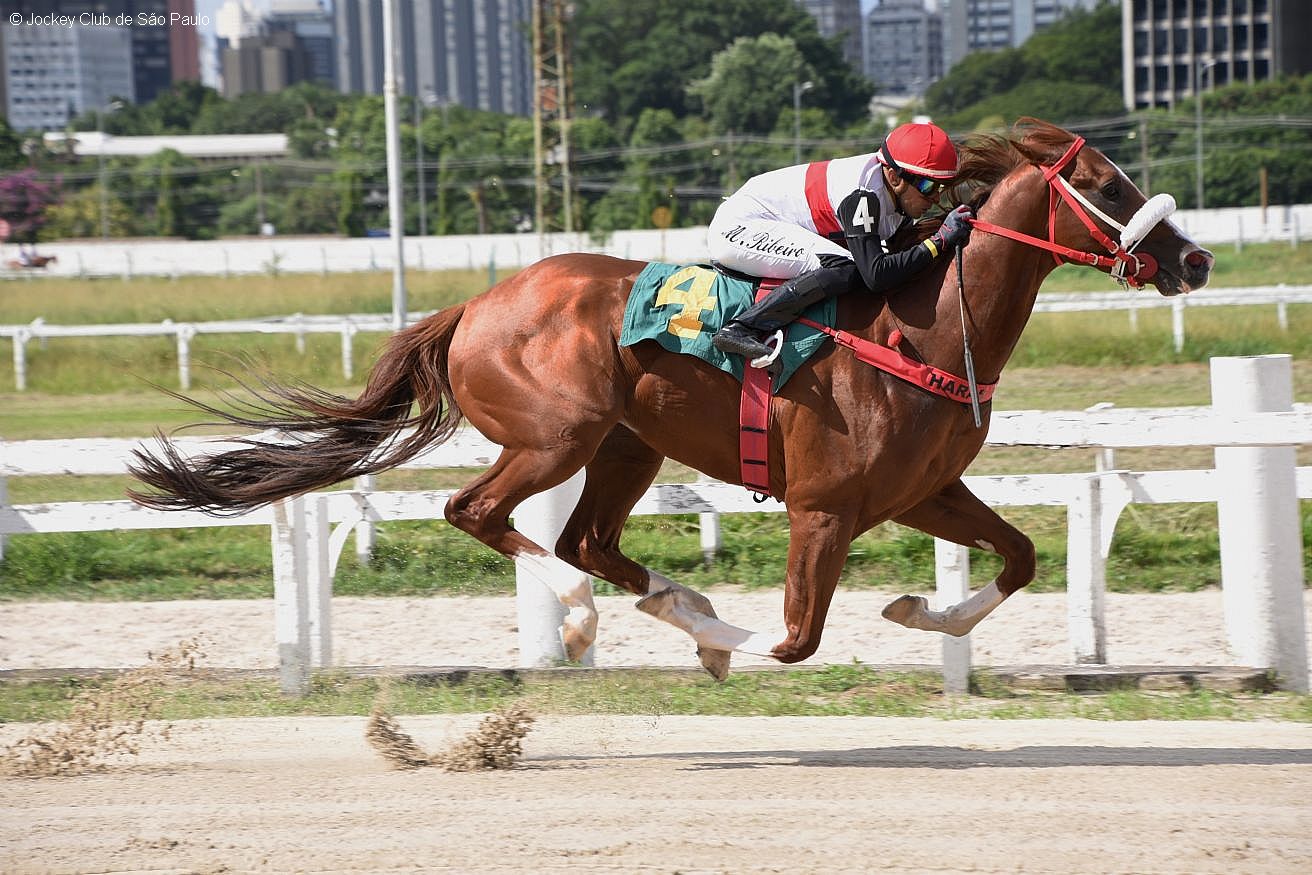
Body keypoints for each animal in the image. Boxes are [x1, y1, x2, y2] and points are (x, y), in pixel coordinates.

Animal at [127, 120, 1212, 682]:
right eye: (1110, 183)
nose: (1194, 258)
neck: (930, 328)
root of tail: (475, 302)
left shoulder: (919, 492)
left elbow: (1021, 556)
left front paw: (918, 609)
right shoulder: (825, 507)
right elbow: (797, 637)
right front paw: (734, 642)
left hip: (628, 443)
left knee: (587, 540)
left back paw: (668, 600)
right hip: (556, 434)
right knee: (484, 515)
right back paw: (584, 617)